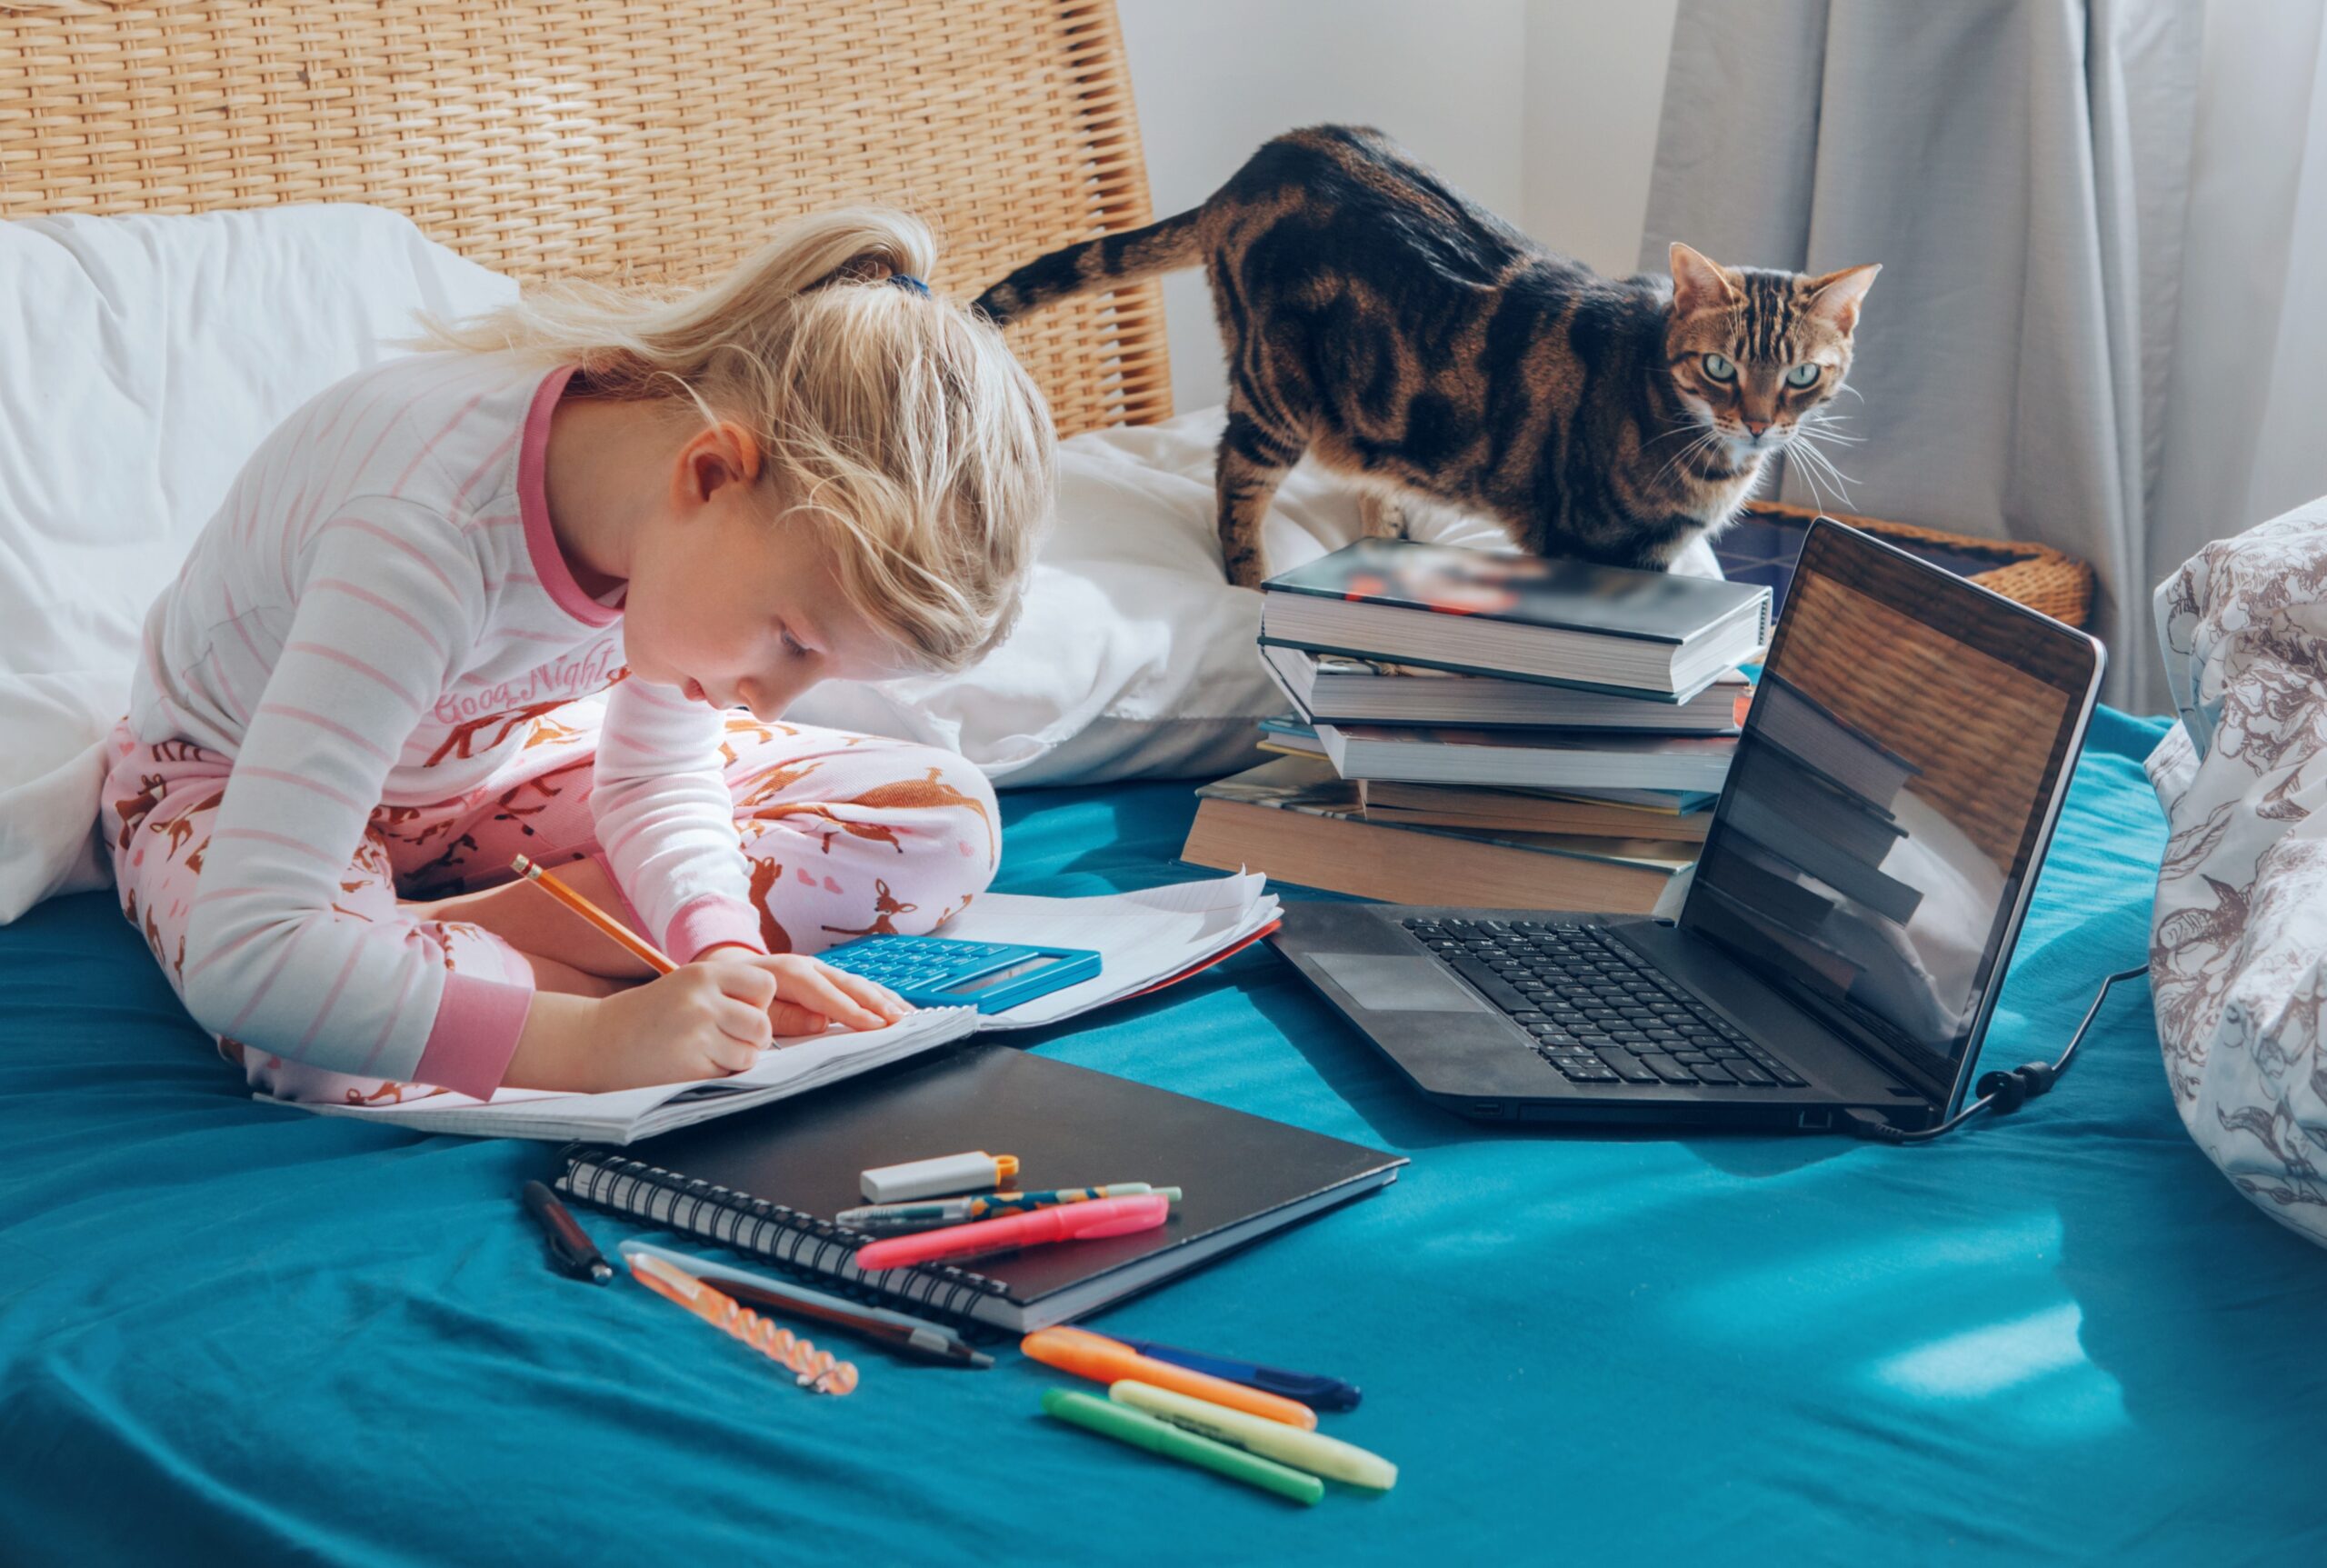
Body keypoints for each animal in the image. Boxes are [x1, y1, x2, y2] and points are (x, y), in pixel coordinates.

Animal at [973, 126, 1880, 585]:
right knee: (1233, 473)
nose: (1757, 424)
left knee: (1371, 468)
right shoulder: (1588, 544)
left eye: (1802, 376)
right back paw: (1248, 572)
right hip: (1275, 387)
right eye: (1720, 367)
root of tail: (1252, 167)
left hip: (1369, 406)